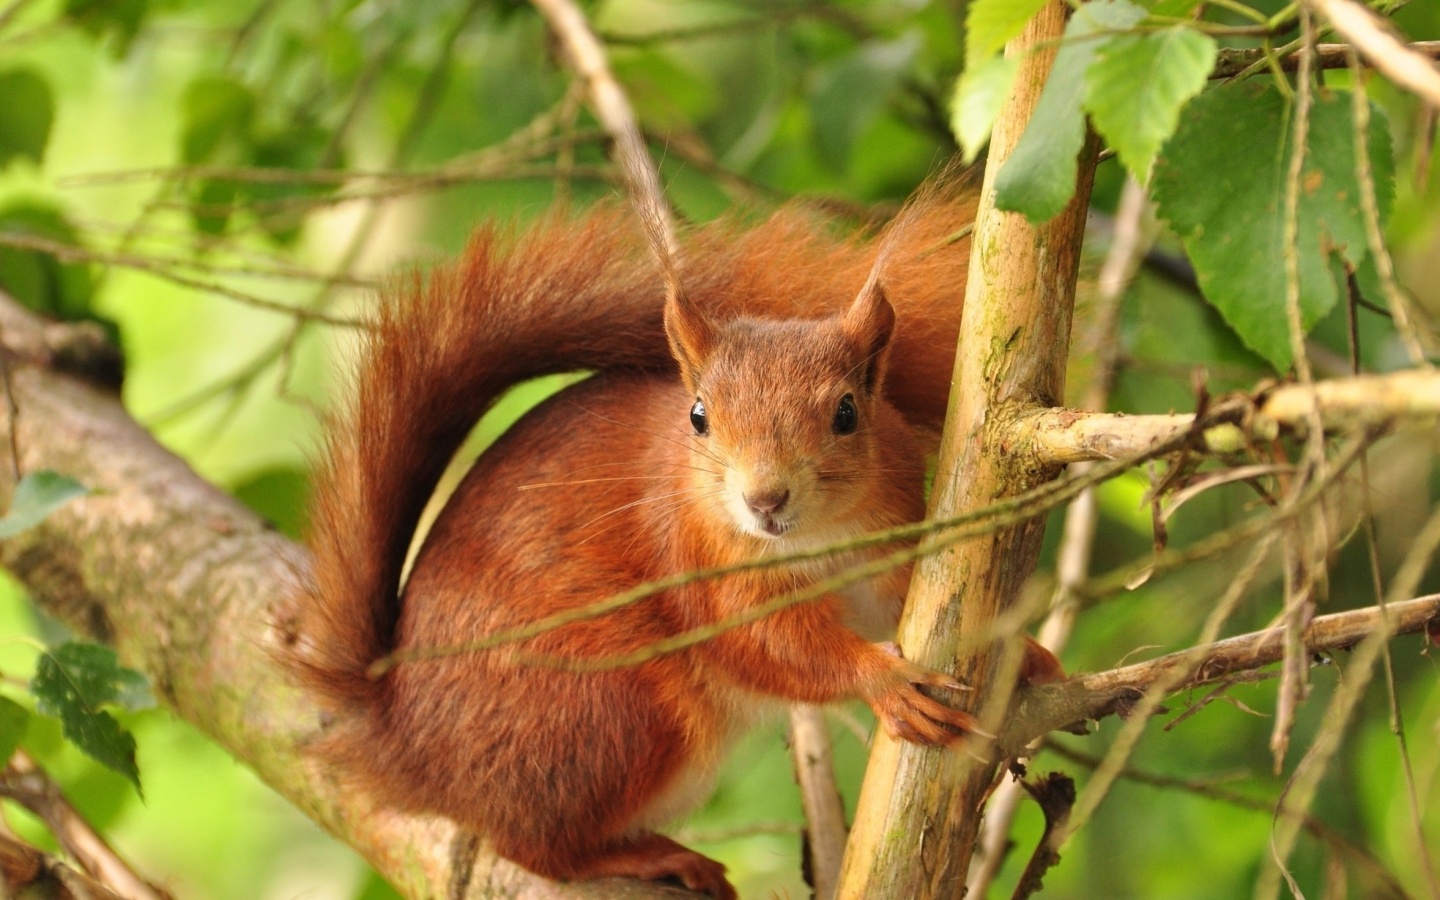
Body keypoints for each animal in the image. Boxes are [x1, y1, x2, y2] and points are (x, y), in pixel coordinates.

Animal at [295, 185, 1059, 892]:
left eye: (847, 413)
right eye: (698, 416)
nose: (764, 499)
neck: (816, 538)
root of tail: (407, 747)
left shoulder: (893, 540)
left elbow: (910, 602)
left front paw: (1022, 651)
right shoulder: (699, 565)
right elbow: (769, 646)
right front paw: (886, 682)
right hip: (613, 711)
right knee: (533, 847)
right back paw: (647, 855)